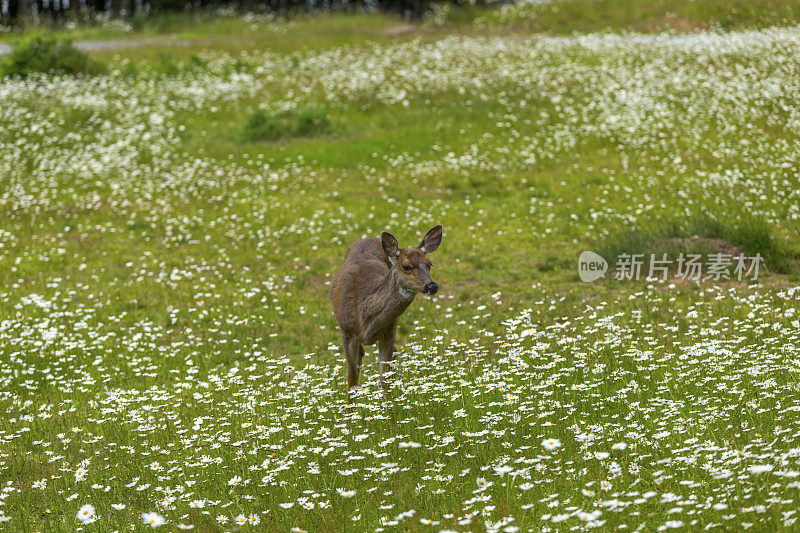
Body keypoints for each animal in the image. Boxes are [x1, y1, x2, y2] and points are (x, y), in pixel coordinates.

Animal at [330, 222, 444, 402]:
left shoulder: (389, 332)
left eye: (429, 264)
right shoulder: (347, 333)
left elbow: (385, 380)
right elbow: (351, 379)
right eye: (406, 266)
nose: (432, 286)